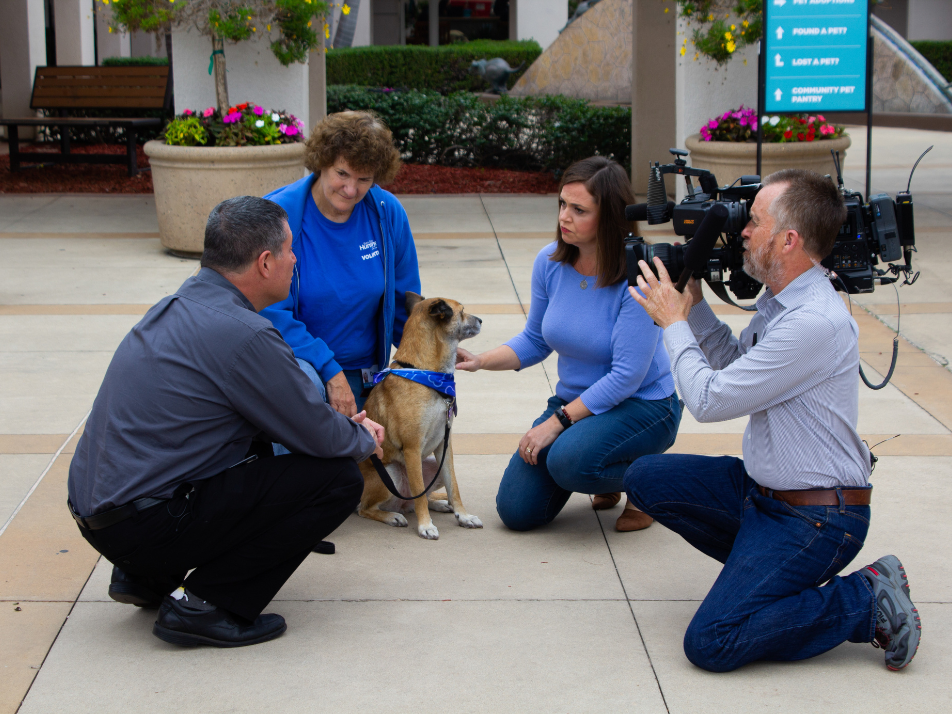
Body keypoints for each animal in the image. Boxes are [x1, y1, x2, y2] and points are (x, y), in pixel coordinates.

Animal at [360, 292, 488, 536]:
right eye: (462, 311)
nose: (481, 320)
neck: (427, 374)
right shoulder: (412, 448)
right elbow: (419, 492)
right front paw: (425, 525)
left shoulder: (444, 447)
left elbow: (454, 487)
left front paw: (463, 515)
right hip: (390, 473)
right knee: (367, 508)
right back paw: (392, 516)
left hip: (432, 466)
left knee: (424, 497)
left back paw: (439, 503)